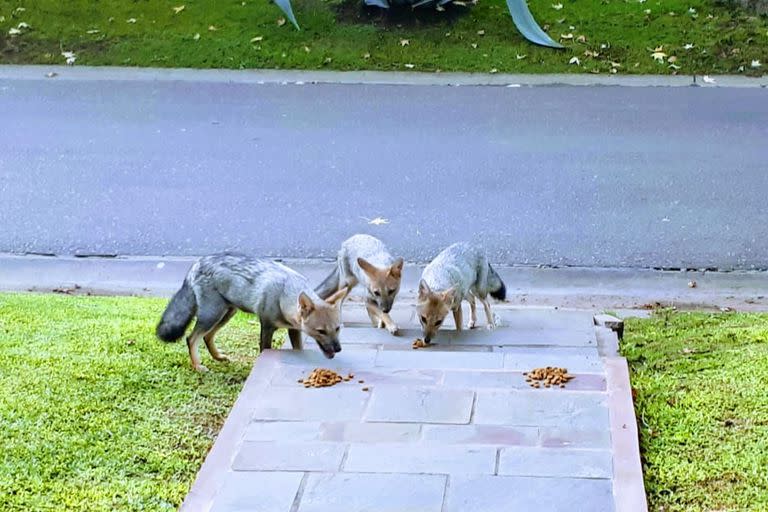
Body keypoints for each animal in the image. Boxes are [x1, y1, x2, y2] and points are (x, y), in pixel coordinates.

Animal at [156, 253, 348, 370]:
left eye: (338, 329)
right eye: (321, 331)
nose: (338, 349)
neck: (284, 292)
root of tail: (197, 262)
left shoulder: (293, 330)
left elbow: (298, 349)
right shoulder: (267, 326)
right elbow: (265, 350)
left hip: (226, 314)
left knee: (206, 337)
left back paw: (218, 357)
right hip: (212, 315)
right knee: (191, 338)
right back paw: (198, 367)